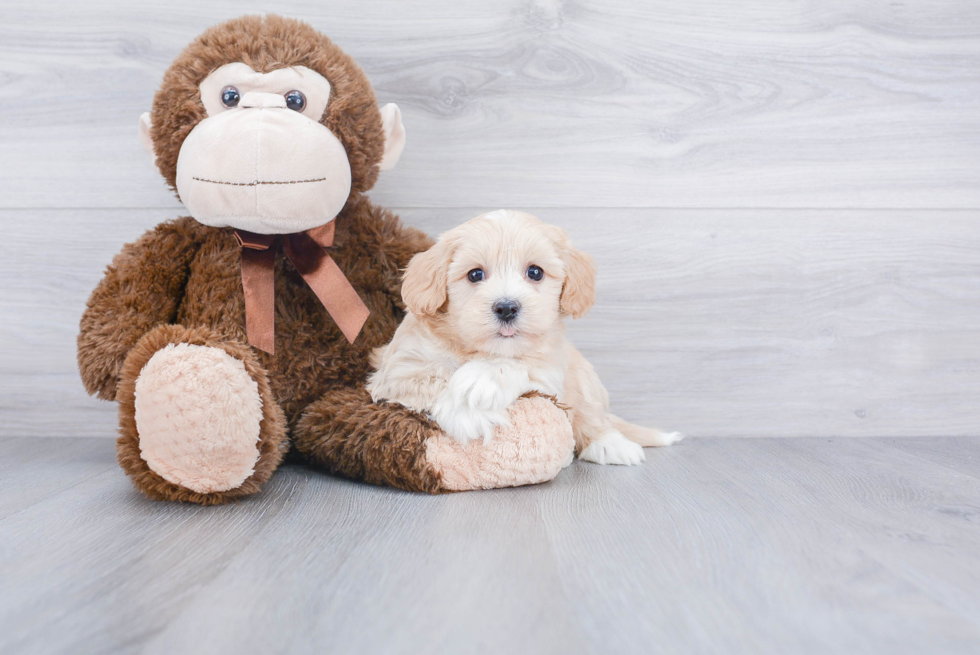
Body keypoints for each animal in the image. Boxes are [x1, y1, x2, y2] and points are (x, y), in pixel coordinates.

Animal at [368, 210, 680, 466]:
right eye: (475, 274)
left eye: (535, 272)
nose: (506, 307)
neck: (479, 349)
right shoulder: (396, 368)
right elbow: (430, 374)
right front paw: (466, 410)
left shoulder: (550, 366)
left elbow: (516, 365)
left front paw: (476, 389)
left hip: (584, 376)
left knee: (593, 414)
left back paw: (610, 444)